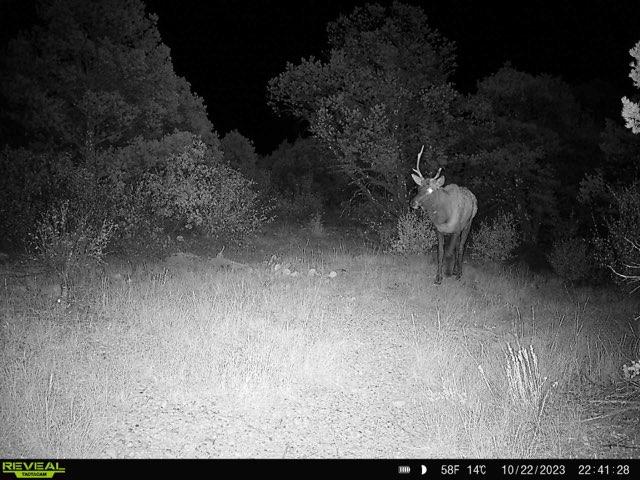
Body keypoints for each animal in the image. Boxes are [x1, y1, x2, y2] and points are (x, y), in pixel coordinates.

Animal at [410, 145, 477, 285]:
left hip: (468, 224)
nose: (413, 203)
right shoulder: (439, 230)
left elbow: (449, 253)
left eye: (431, 190)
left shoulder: (456, 229)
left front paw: (447, 273)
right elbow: (440, 253)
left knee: (461, 247)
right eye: (418, 188)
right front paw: (438, 278)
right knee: (457, 247)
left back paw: (458, 273)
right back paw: (456, 270)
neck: (444, 217)